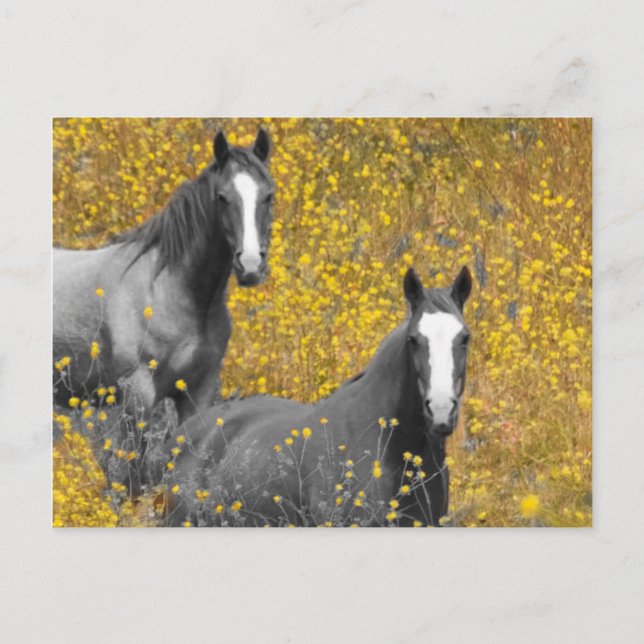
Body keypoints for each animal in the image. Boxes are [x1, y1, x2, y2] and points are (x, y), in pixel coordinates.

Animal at [53, 129, 275, 493]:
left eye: (268, 195)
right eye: (222, 197)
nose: (251, 266)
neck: (169, 290)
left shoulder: (197, 393)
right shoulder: (138, 396)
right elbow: (134, 477)